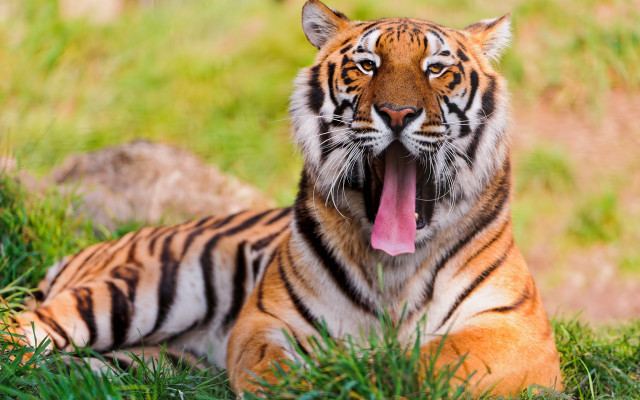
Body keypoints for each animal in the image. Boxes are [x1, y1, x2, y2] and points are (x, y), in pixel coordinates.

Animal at [3, 0, 563, 397]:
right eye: (366, 65)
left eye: (436, 68)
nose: (397, 113)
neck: (393, 265)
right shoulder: (265, 321)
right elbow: (275, 367)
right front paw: (329, 378)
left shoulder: (517, 332)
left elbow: (432, 361)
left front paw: (374, 372)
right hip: (137, 288)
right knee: (23, 330)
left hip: (139, 359)